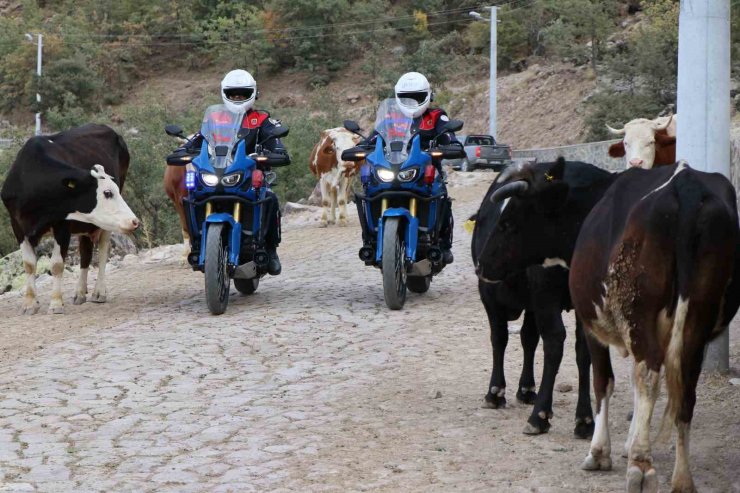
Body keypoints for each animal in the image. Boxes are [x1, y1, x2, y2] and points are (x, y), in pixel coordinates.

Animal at [1, 124, 139, 316]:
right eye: (107, 193)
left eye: (114, 190)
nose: (134, 221)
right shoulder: (18, 226)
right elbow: (28, 264)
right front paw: (29, 303)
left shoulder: (62, 225)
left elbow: (57, 264)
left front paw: (56, 303)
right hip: (87, 224)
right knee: (85, 252)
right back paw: (80, 292)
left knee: (103, 248)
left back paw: (99, 292)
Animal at [472, 157, 616, 434]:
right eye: (500, 222)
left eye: (508, 224)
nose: (482, 265)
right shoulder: (542, 297)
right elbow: (550, 342)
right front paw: (540, 414)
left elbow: (581, 350)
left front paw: (584, 418)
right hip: (498, 296)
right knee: (502, 337)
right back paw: (496, 392)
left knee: (527, 337)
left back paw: (527, 389)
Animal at [568, 163, 736, 492]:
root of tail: (686, 182)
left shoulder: (592, 327)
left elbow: (603, 382)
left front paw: (600, 452)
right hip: (697, 319)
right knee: (684, 388)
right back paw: (682, 477)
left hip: (640, 314)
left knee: (648, 377)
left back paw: (641, 466)